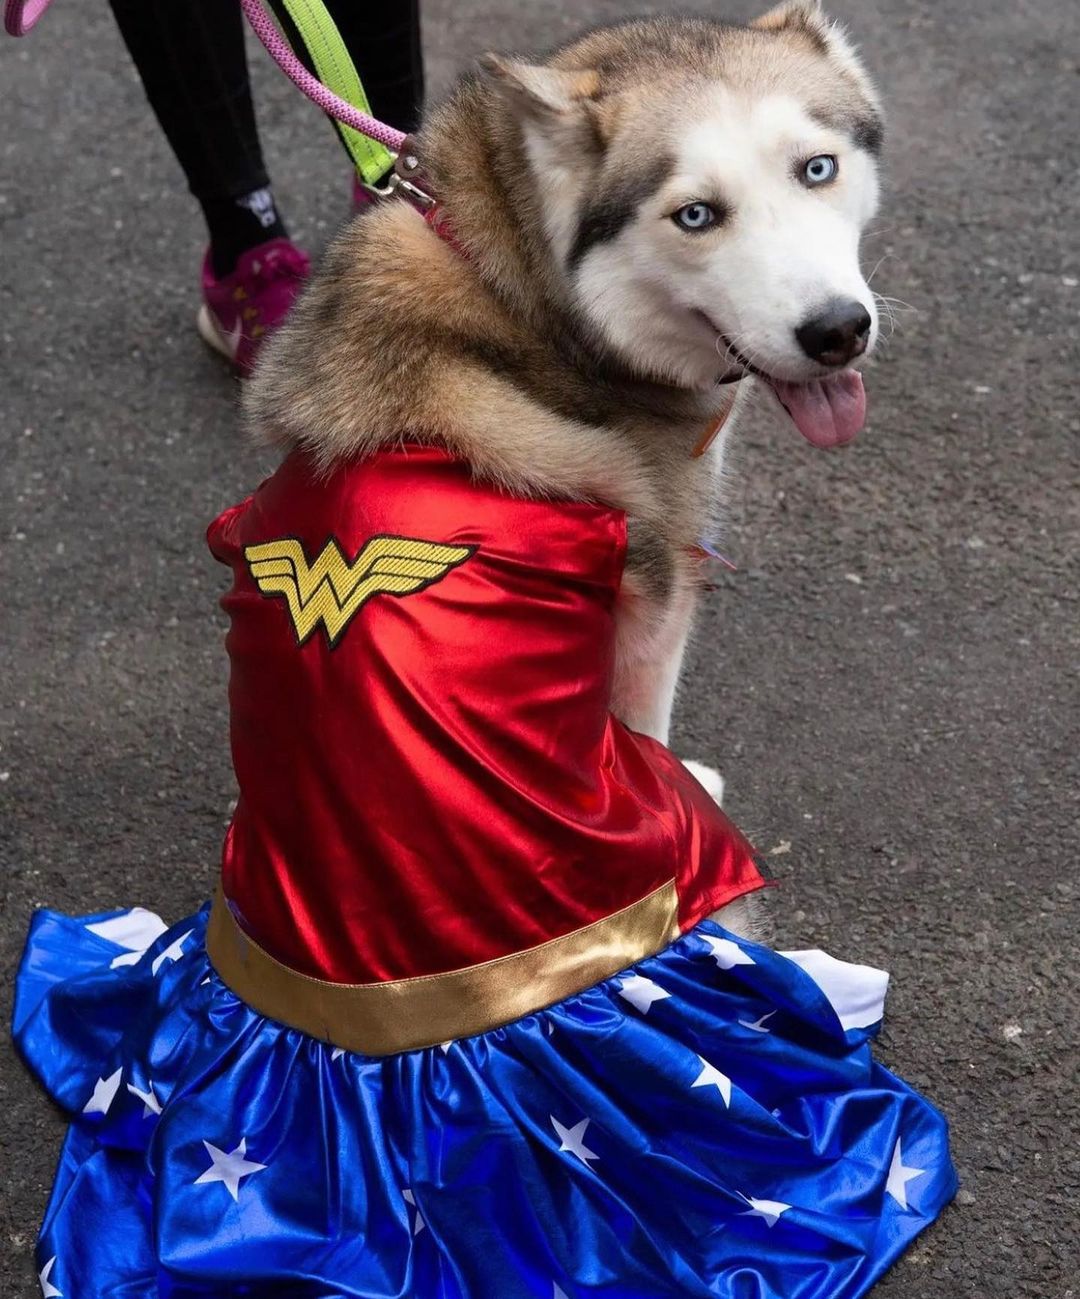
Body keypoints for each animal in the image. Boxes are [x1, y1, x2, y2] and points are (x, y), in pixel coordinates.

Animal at [246, 0, 888, 935]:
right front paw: (684, 772)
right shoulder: (658, 601)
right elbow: (648, 721)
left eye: (817, 168)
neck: (522, 294)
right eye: (696, 215)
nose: (837, 330)